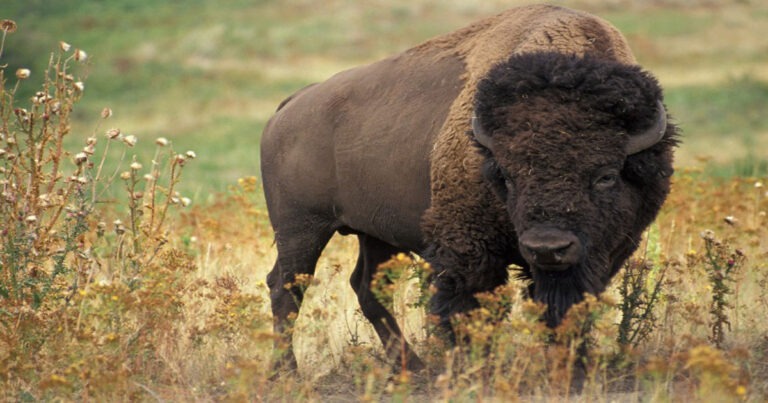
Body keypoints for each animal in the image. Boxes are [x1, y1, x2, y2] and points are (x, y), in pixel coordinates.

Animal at [261, 4, 678, 371]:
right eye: (506, 175)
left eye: (606, 175)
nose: (547, 247)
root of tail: (291, 106)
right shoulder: (468, 250)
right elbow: (468, 310)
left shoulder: (601, 255)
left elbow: (566, 309)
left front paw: (572, 367)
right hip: (302, 229)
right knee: (286, 289)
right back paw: (287, 373)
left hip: (374, 234)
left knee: (366, 288)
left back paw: (413, 368)